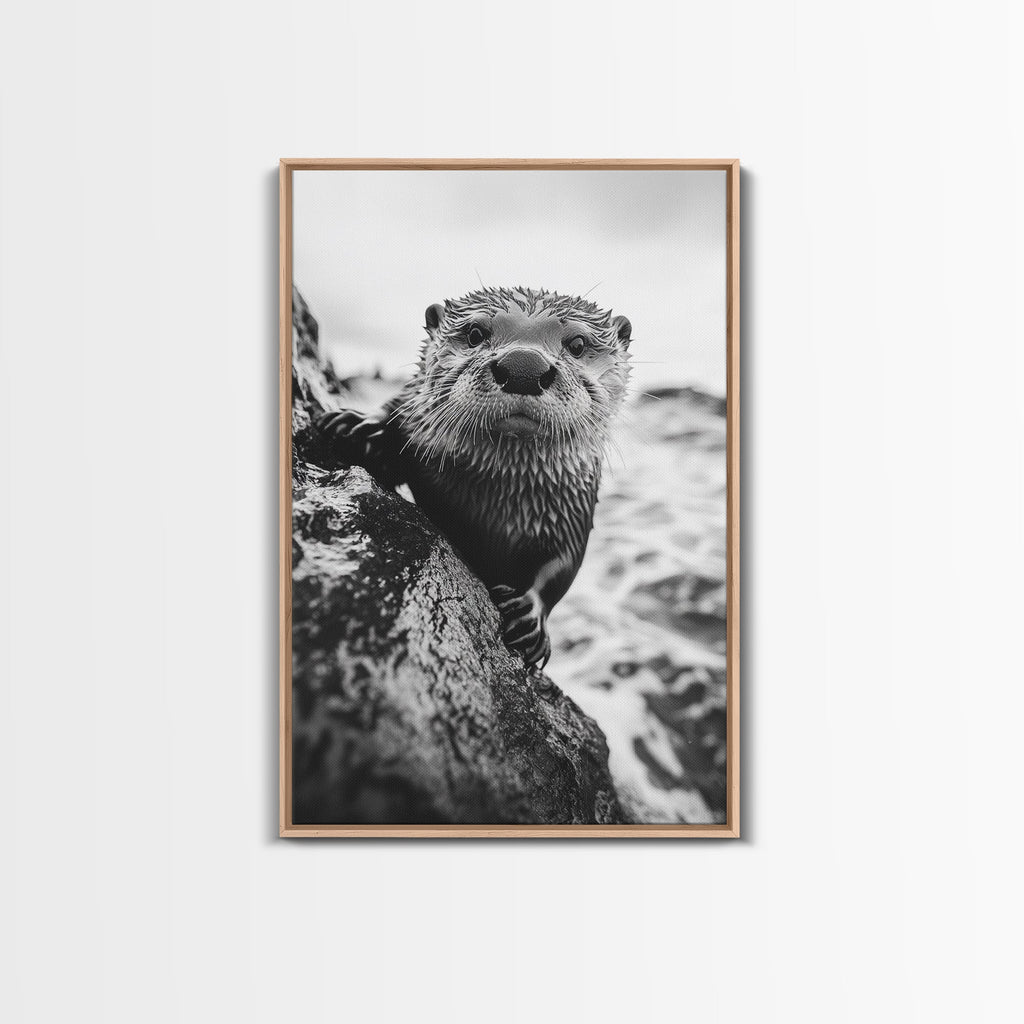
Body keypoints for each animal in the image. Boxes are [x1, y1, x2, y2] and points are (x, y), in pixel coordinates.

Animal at [313, 286, 632, 668]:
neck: (494, 498)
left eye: (578, 344)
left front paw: (529, 616)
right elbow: (395, 410)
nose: (524, 367)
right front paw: (360, 426)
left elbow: (561, 566)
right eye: (476, 333)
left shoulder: (573, 507)